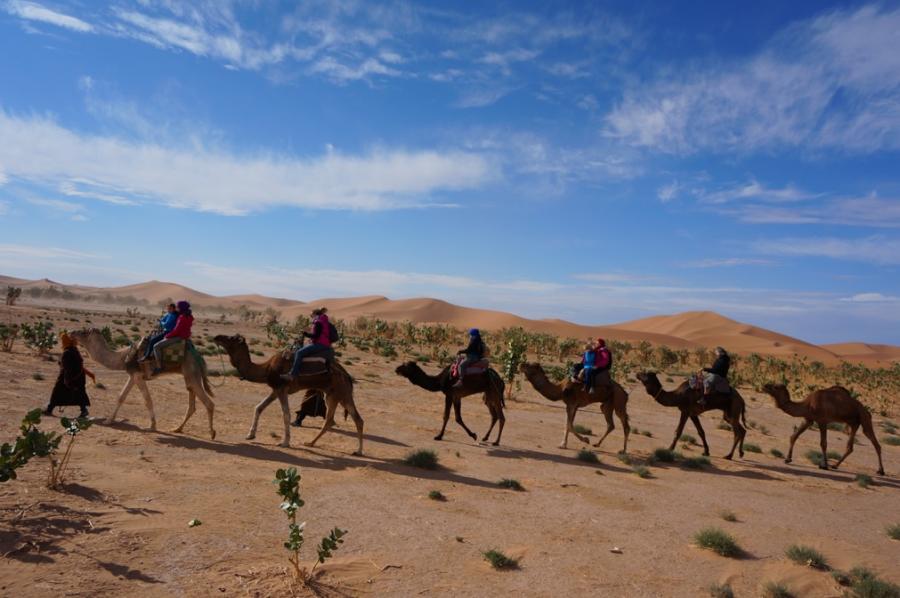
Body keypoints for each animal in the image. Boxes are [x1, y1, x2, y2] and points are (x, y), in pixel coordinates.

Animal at [71, 328, 215, 440]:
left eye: (83, 332)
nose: (72, 332)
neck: (123, 357)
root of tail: (198, 355)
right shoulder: (132, 375)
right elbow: (121, 397)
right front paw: (108, 421)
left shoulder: (139, 376)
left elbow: (147, 400)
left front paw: (152, 426)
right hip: (189, 375)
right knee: (191, 403)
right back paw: (177, 429)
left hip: (192, 372)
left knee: (209, 403)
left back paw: (212, 434)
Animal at [213, 336, 364, 458]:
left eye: (232, 338)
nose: (217, 337)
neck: (266, 368)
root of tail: (347, 376)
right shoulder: (275, 389)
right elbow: (259, 407)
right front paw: (250, 434)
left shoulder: (281, 389)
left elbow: (286, 414)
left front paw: (285, 442)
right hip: (338, 395)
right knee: (351, 419)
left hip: (338, 394)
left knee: (337, 420)